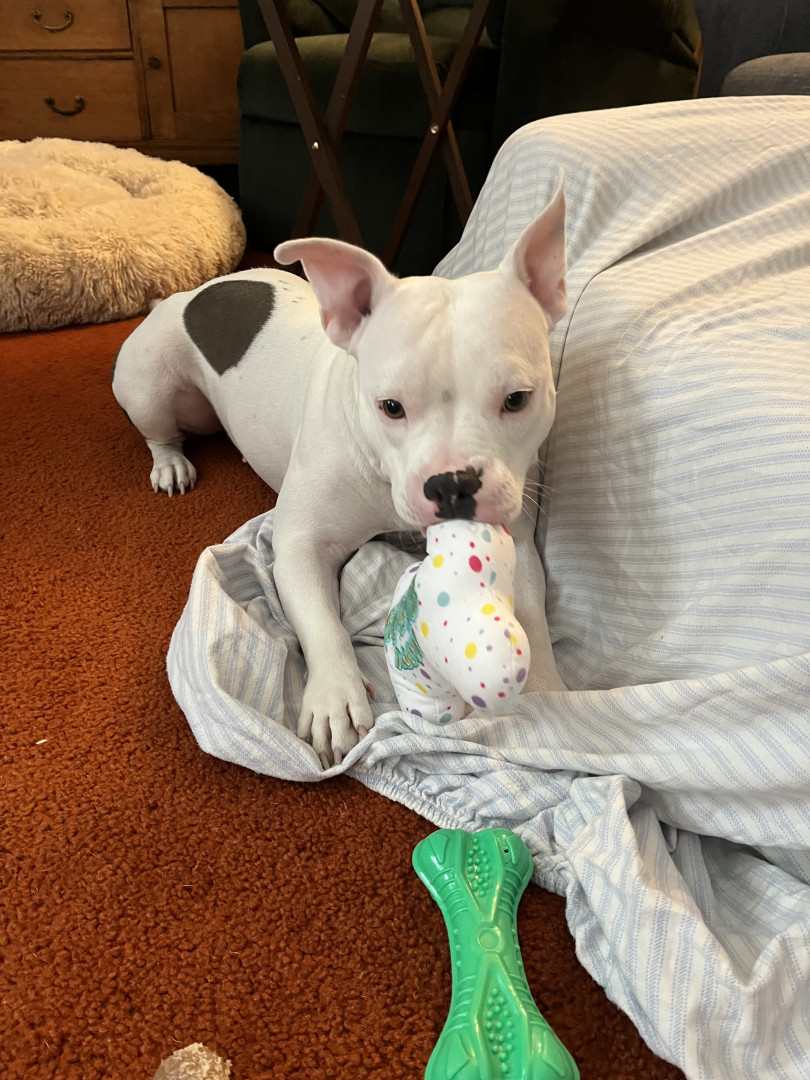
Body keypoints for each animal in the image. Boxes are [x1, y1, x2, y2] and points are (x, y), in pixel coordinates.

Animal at [112, 182, 568, 767]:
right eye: (390, 406)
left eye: (517, 399)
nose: (451, 484)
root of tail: (182, 296)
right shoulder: (299, 545)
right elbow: (321, 623)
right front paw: (334, 700)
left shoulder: (521, 537)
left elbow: (531, 607)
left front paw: (551, 691)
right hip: (149, 384)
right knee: (159, 431)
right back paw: (170, 463)